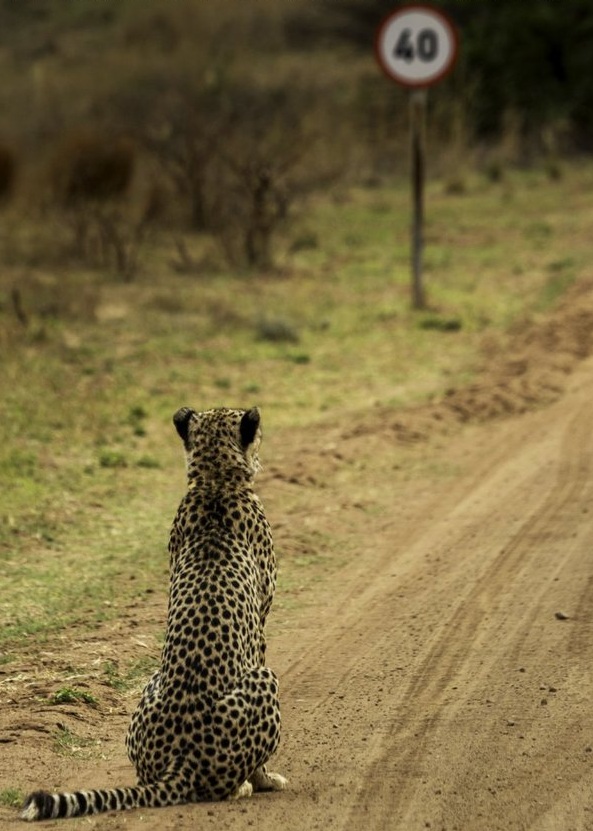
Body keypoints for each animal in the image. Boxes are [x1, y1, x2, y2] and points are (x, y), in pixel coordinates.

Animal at [24, 406, 288, 824]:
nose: (263, 448)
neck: (214, 481)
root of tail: (180, 761)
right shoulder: (260, 625)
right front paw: (265, 779)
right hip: (265, 678)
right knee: (220, 787)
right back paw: (243, 786)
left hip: (151, 685)